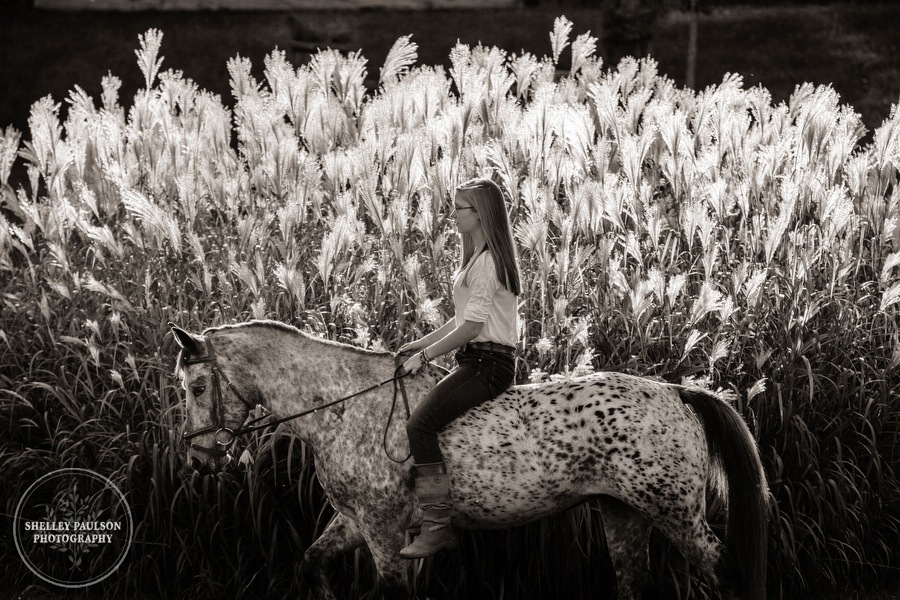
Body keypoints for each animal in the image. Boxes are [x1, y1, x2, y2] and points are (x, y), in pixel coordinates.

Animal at [172, 322, 768, 600]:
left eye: (198, 387)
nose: (200, 459)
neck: (344, 406)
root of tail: (677, 392)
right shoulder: (354, 521)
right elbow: (310, 564)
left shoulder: (383, 528)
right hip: (625, 513)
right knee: (633, 582)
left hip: (676, 514)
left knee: (727, 574)